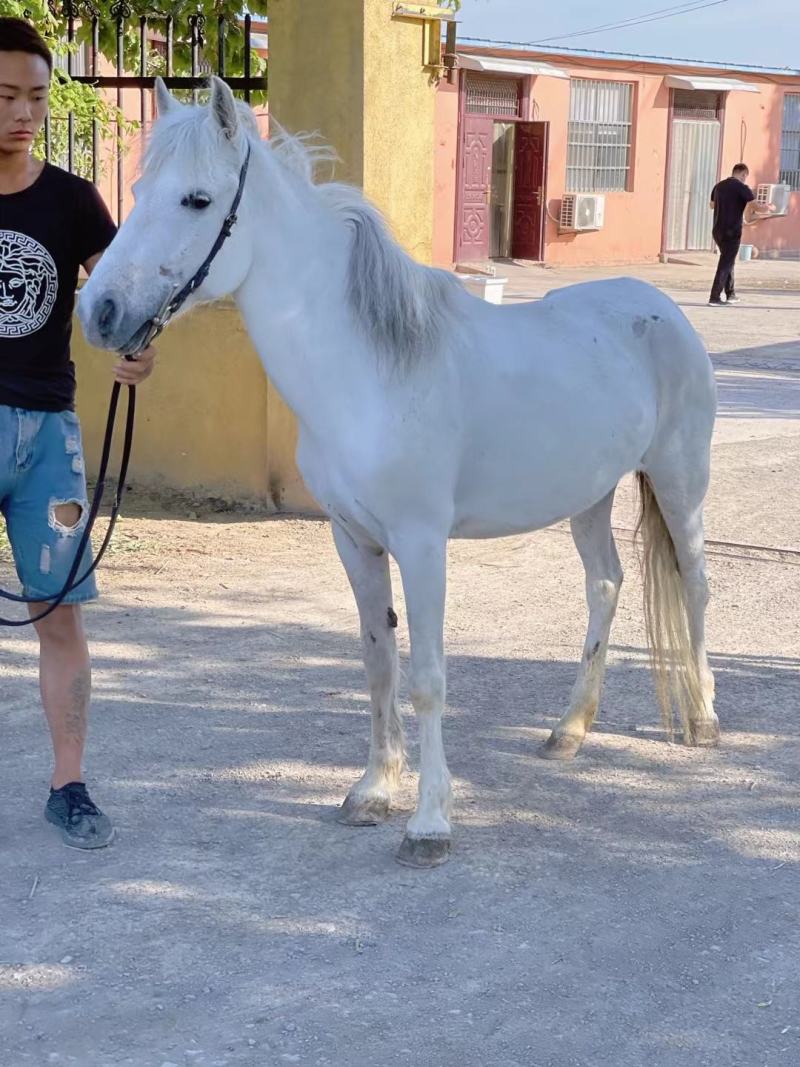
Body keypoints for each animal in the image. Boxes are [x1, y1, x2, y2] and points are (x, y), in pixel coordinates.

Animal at [79, 78, 719, 868]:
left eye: (197, 199)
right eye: (137, 190)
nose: (99, 312)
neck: (369, 371)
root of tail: (658, 307)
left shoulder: (421, 544)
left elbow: (428, 678)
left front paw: (430, 822)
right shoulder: (354, 541)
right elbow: (378, 661)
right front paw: (373, 791)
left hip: (680, 482)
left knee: (696, 583)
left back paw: (702, 717)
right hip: (589, 497)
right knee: (605, 585)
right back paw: (570, 729)